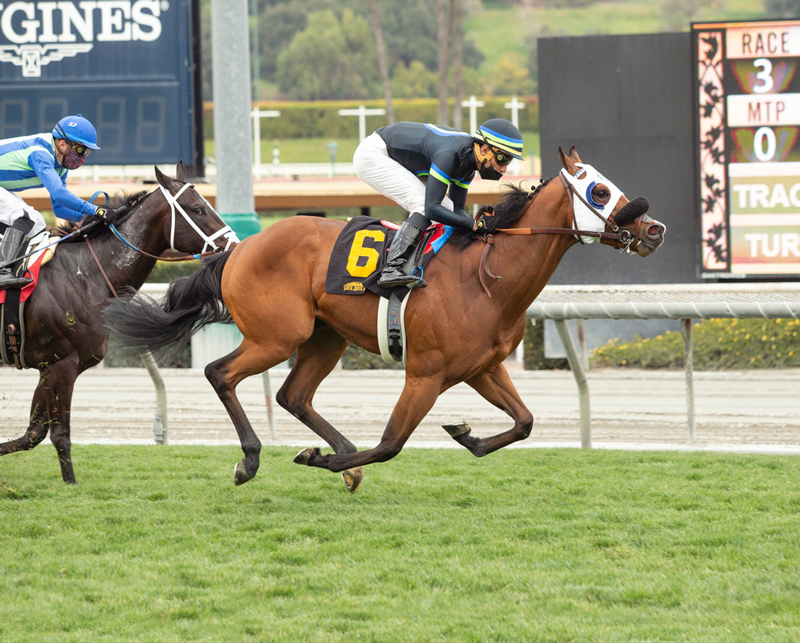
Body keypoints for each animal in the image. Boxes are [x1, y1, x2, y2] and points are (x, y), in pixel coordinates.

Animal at [0, 161, 238, 484]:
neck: (86, 274)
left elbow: (33, 433)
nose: (235, 245)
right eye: (197, 209)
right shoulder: (61, 364)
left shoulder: (49, 366)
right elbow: (60, 434)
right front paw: (71, 484)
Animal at [106, 150, 668, 494]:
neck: (488, 278)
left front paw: (467, 435)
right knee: (220, 373)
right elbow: (389, 445)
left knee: (293, 395)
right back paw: (254, 459)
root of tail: (237, 249)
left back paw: (334, 452)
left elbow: (525, 422)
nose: (654, 229)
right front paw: (322, 461)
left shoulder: (483, 369)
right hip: (276, 336)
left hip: (324, 338)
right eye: (599, 192)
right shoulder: (425, 373)